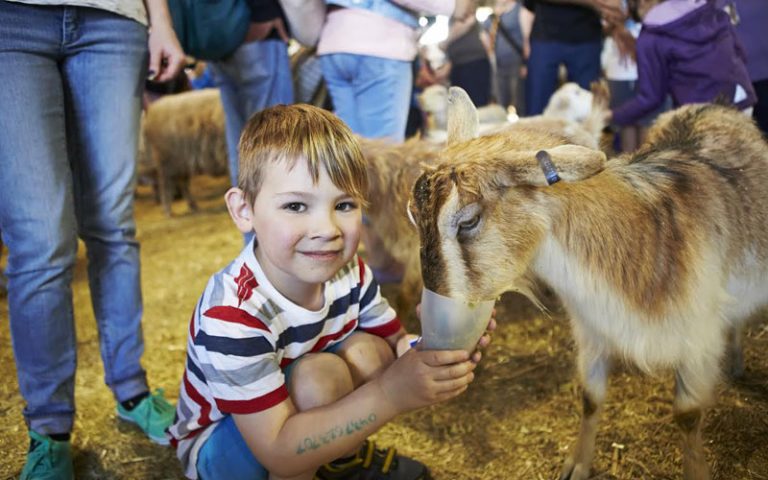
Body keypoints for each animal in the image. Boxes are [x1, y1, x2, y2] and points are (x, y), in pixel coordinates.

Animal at [142, 89, 228, 217]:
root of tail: (152, 110)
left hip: (181, 162)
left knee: (183, 185)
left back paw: (193, 206)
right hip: (166, 161)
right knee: (166, 185)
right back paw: (168, 210)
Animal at [408, 87, 768, 480]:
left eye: (469, 221)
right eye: (412, 216)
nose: (434, 313)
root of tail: (715, 105)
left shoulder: (698, 339)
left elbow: (687, 415)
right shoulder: (592, 327)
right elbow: (590, 397)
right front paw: (577, 464)